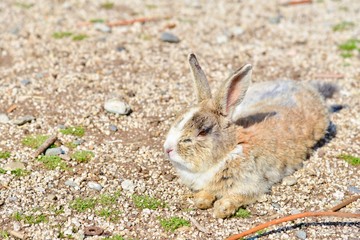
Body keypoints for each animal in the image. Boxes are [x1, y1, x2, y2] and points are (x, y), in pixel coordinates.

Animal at [164, 53, 334, 218]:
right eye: (179, 116)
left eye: (203, 132)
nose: (167, 149)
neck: (230, 149)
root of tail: (308, 89)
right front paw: (201, 201)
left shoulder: (252, 185)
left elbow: (237, 197)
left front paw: (221, 209)